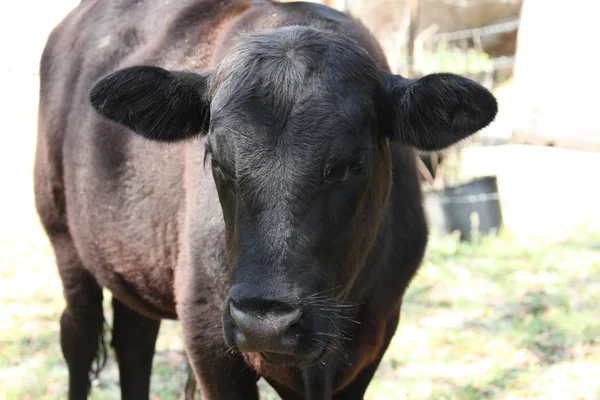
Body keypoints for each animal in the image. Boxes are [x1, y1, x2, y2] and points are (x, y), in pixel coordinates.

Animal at [35, 1, 500, 398]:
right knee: (78, 336)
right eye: (215, 157)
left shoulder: (375, 334)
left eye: (354, 161)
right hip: (61, 235)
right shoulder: (208, 334)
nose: (266, 324)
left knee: (133, 338)